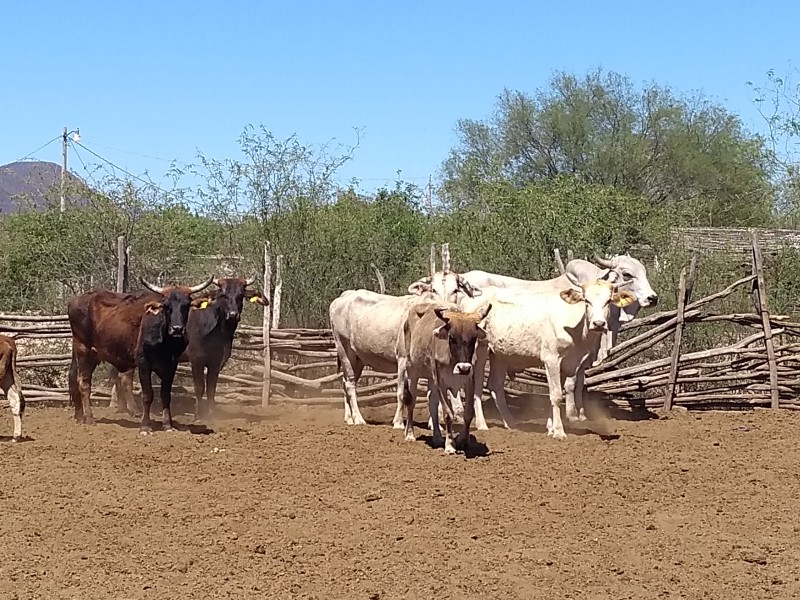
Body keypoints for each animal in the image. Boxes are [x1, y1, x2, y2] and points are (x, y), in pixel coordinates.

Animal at [68, 276, 212, 432]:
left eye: (186, 305)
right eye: (166, 306)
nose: (177, 329)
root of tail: (75, 300)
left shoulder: (171, 365)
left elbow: (165, 395)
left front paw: (167, 425)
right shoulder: (144, 363)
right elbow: (147, 395)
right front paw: (145, 426)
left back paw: (79, 416)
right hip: (84, 351)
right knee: (84, 383)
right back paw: (89, 418)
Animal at [330, 270, 482, 428]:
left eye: (456, 290)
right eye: (433, 290)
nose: (444, 309)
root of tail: (345, 296)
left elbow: (433, 395)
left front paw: (434, 424)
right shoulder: (403, 359)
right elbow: (402, 393)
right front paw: (398, 422)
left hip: (358, 359)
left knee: (344, 382)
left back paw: (349, 418)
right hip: (344, 349)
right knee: (350, 383)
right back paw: (358, 419)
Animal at [396, 302, 490, 452]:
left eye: (473, 339)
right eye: (452, 338)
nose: (463, 368)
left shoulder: (469, 381)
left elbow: (468, 413)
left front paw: (463, 441)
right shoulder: (441, 382)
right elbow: (447, 414)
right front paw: (450, 445)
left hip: (431, 377)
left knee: (432, 403)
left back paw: (438, 437)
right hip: (411, 370)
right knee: (411, 400)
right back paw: (410, 434)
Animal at [462, 274, 636, 438]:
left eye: (608, 300)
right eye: (586, 300)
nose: (598, 324)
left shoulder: (569, 363)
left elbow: (560, 390)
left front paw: (551, 428)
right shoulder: (551, 359)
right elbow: (556, 395)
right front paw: (559, 431)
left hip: (499, 354)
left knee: (495, 386)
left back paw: (510, 423)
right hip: (480, 349)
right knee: (477, 386)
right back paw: (482, 424)